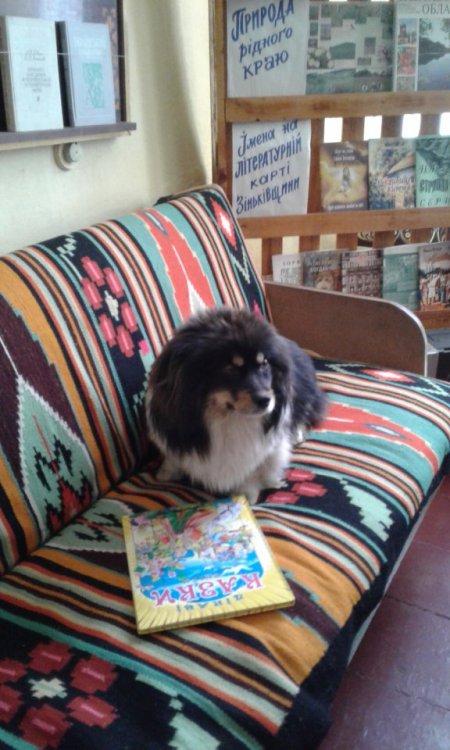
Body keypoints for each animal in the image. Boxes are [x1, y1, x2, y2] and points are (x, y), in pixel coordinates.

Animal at [145, 307, 326, 504]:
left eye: (264, 363)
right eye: (230, 368)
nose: (266, 400)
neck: (226, 419)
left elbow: (254, 468)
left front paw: (246, 493)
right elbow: (173, 456)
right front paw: (166, 472)